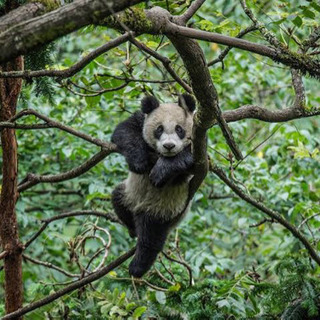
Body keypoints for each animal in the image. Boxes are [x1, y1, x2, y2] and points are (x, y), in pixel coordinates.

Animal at [111, 93, 195, 278]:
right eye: (159, 129)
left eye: (179, 129)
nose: (169, 146)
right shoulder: (141, 120)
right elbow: (125, 130)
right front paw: (139, 162)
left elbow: (186, 160)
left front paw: (160, 172)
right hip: (129, 192)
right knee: (117, 198)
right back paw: (132, 227)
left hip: (162, 207)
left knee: (151, 236)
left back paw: (137, 266)